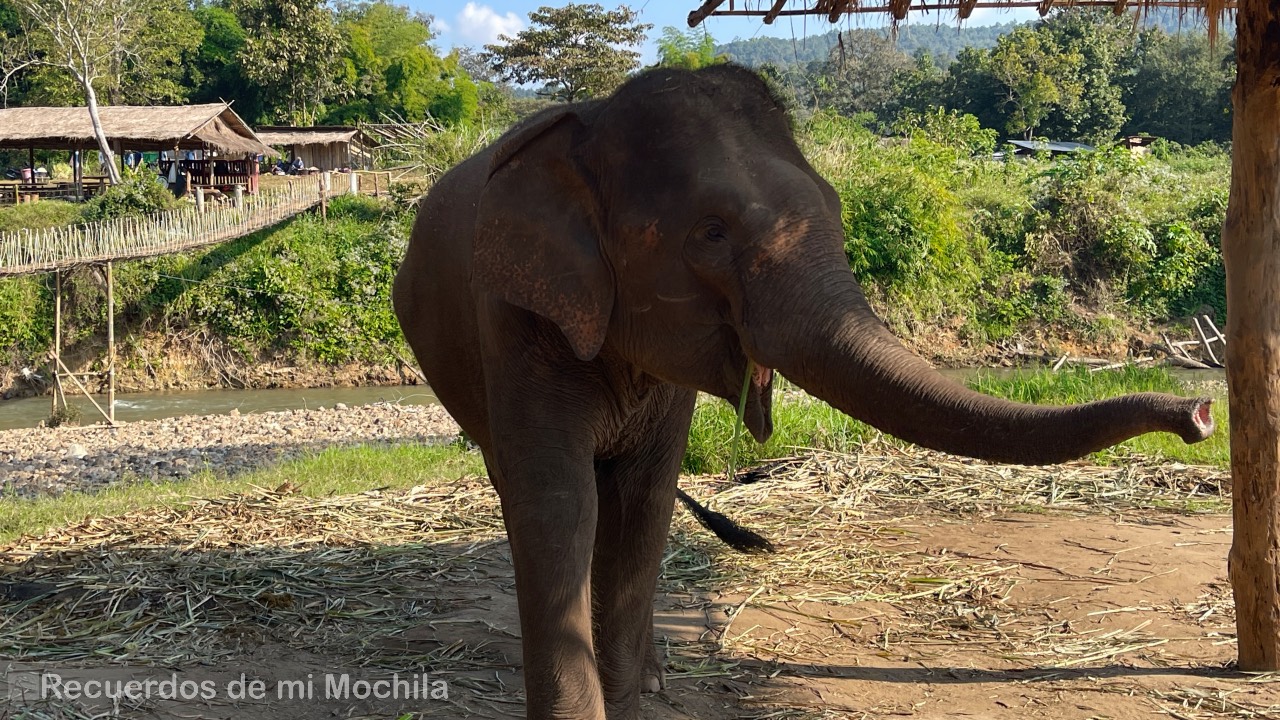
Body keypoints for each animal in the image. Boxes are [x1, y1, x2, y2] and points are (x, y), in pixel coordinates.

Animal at [391, 64, 1214, 720]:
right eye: (712, 233)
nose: (1200, 411)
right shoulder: (514, 322)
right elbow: (559, 504)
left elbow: (643, 504)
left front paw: (634, 698)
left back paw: (655, 678)